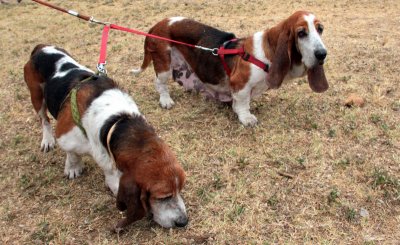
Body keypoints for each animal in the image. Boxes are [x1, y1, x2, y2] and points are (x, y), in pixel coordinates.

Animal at [23, 44, 189, 230]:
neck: (117, 122)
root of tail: (42, 48)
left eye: (180, 190)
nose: (183, 222)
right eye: (163, 196)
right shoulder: (66, 137)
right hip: (36, 96)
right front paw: (73, 167)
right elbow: (72, 153)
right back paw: (47, 140)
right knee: (43, 119)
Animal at [133, 11, 330, 126]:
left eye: (320, 29)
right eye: (301, 33)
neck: (266, 52)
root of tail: (156, 25)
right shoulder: (240, 84)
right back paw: (165, 100)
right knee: (159, 83)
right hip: (164, 64)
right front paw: (246, 118)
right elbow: (242, 103)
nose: (322, 54)